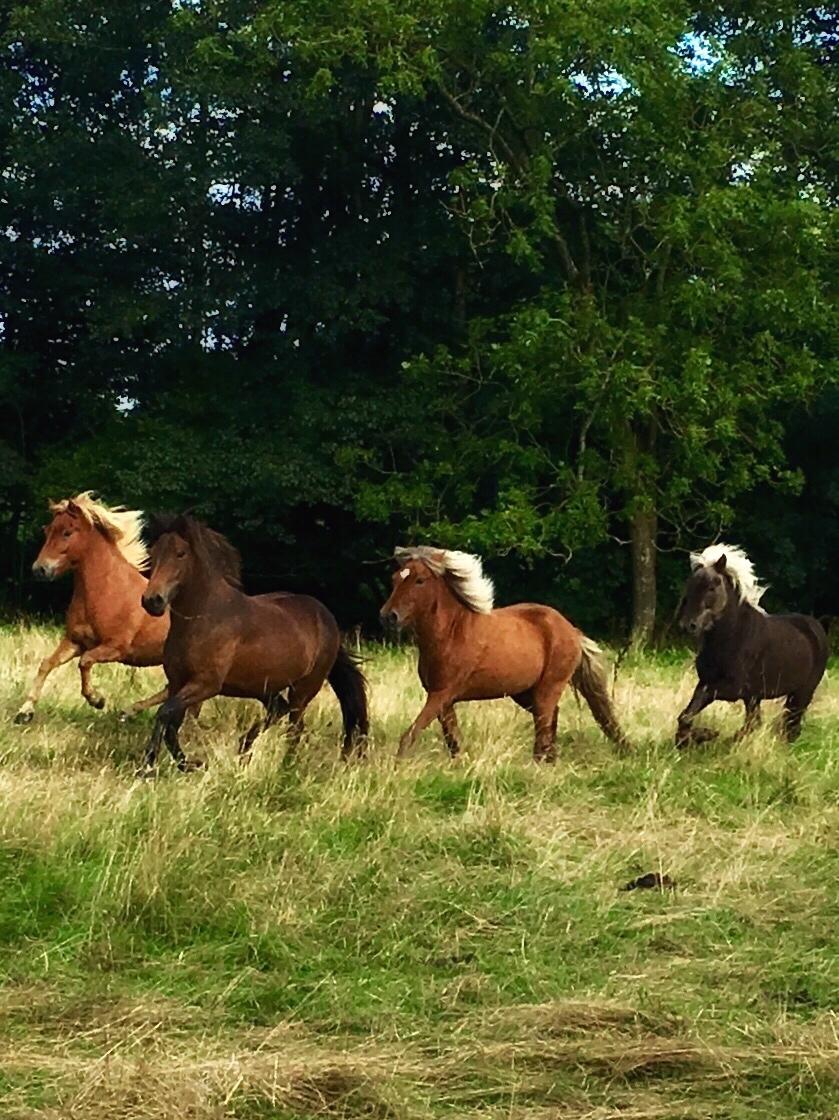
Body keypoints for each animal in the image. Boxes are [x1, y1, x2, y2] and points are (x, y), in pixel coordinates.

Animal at [14, 492, 171, 721]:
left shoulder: (115, 648)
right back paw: (130, 711)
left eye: (67, 532)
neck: (105, 591)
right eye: (47, 530)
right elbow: (47, 664)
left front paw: (96, 699)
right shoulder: (75, 641)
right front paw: (25, 711)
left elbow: (84, 662)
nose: (40, 570)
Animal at [137, 512, 367, 770]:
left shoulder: (205, 684)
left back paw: (285, 767)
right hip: (264, 687)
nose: (152, 601)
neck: (204, 617)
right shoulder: (178, 682)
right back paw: (244, 750)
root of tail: (328, 620)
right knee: (279, 711)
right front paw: (189, 764)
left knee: (295, 726)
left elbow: (163, 713)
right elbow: (171, 725)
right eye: (154, 552)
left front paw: (149, 766)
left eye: (180, 553)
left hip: (304, 688)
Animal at [378, 544, 627, 761]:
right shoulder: (442, 699)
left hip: (548, 688)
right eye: (395, 578)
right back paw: (550, 761)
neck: (450, 634)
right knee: (550, 721)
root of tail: (572, 631)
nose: (388, 616)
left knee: (544, 726)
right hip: (525, 693)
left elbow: (411, 734)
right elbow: (453, 740)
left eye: (420, 580)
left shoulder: (442, 694)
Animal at [672, 539, 824, 743]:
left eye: (712, 587)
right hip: (757, 697)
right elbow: (686, 715)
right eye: (689, 586)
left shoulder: (733, 689)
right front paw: (695, 737)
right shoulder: (707, 682)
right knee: (759, 723)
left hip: (802, 692)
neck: (732, 638)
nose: (688, 625)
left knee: (791, 725)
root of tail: (816, 626)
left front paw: (707, 735)